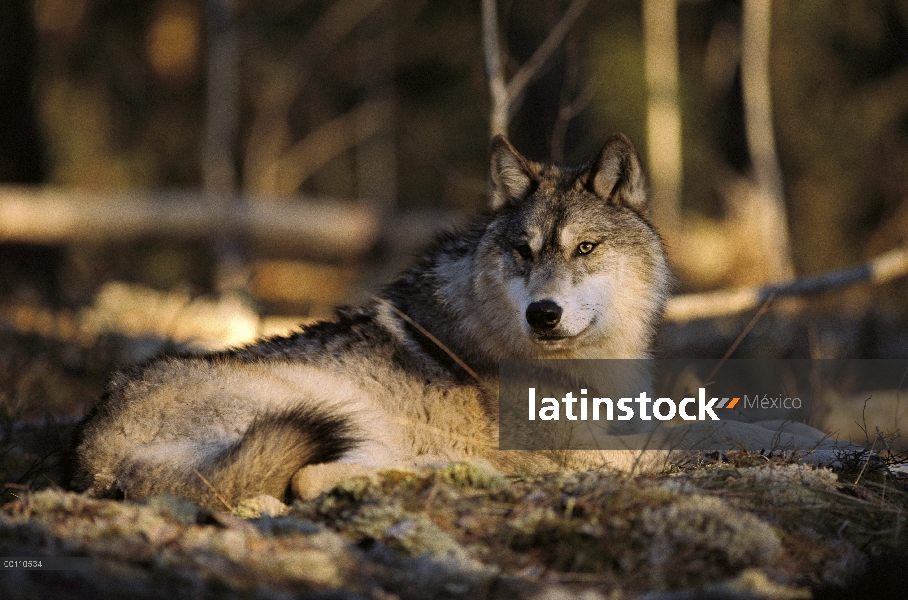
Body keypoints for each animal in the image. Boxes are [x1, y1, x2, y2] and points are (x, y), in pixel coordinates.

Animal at [71, 134, 672, 508]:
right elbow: (668, 444)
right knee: (308, 478)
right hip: (331, 404)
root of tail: (91, 456)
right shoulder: (576, 443)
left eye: (585, 248)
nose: (542, 314)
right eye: (523, 252)